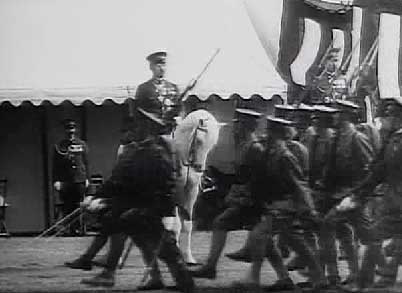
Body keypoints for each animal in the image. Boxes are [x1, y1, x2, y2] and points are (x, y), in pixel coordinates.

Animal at [173, 108, 221, 264]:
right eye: (199, 140)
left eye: (212, 144)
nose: (199, 168)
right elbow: (176, 224)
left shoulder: (191, 191)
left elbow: (187, 225)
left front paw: (188, 257)